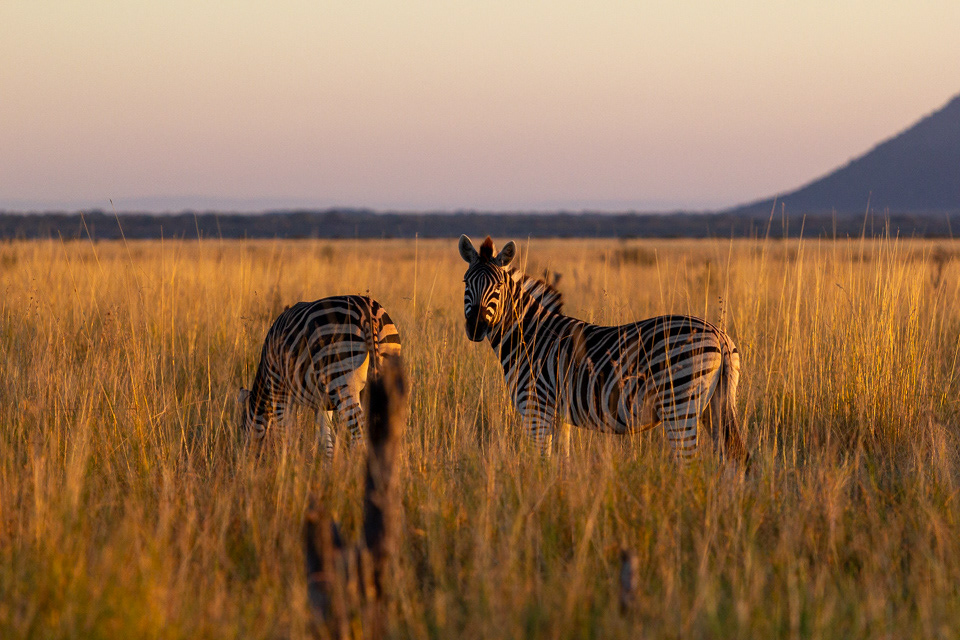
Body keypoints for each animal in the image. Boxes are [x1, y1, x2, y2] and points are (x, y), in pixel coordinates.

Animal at [238, 295, 401, 457]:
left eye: (242, 426)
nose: (243, 458)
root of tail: (367, 310)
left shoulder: (279, 389)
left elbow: (284, 431)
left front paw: (286, 459)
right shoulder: (323, 404)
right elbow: (325, 440)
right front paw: (326, 463)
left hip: (341, 376)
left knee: (358, 429)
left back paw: (355, 463)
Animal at [459, 235, 749, 467]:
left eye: (498, 287)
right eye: (465, 283)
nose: (475, 327)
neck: (529, 338)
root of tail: (719, 335)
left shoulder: (535, 408)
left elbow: (539, 462)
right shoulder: (559, 415)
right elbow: (560, 462)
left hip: (679, 404)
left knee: (688, 463)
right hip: (715, 404)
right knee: (735, 458)